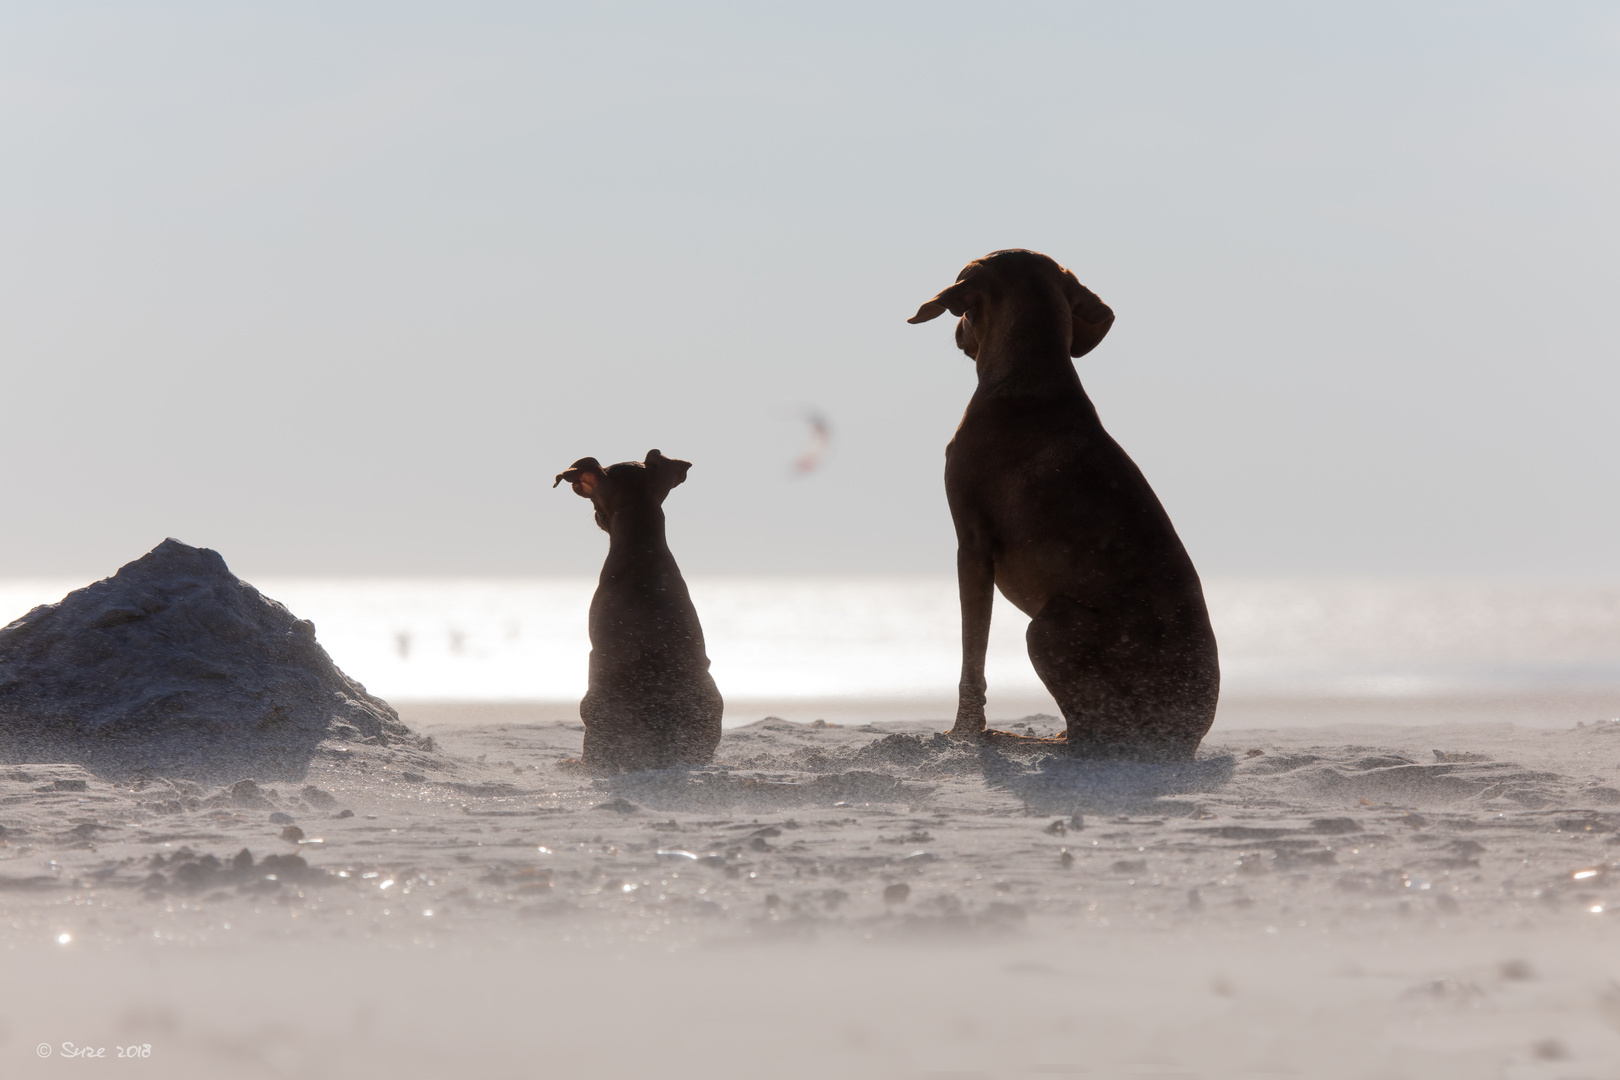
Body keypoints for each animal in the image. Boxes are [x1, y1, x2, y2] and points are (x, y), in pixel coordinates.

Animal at [913, 250, 1218, 764]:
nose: (956, 331)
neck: (1030, 379)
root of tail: (1184, 740)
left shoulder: (972, 548)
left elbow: (972, 657)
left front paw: (964, 733)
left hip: (1051, 624)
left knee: (1088, 740)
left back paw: (1014, 739)